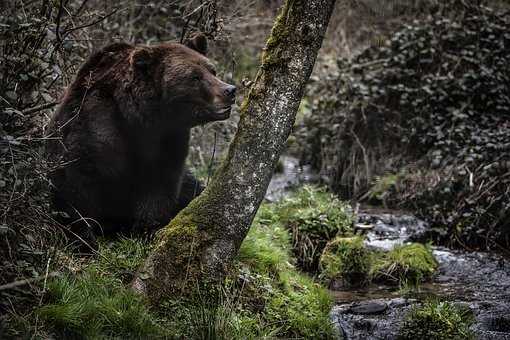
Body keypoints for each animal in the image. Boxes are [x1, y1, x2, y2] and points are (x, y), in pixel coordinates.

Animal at [44, 33, 236, 247]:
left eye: (212, 70)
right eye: (195, 76)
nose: (230, 90)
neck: (140, 117)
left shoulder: (168, 138)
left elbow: (160, 184)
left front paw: (148, 231)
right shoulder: (96, 127)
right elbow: (76, 183)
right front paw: (83, 239)